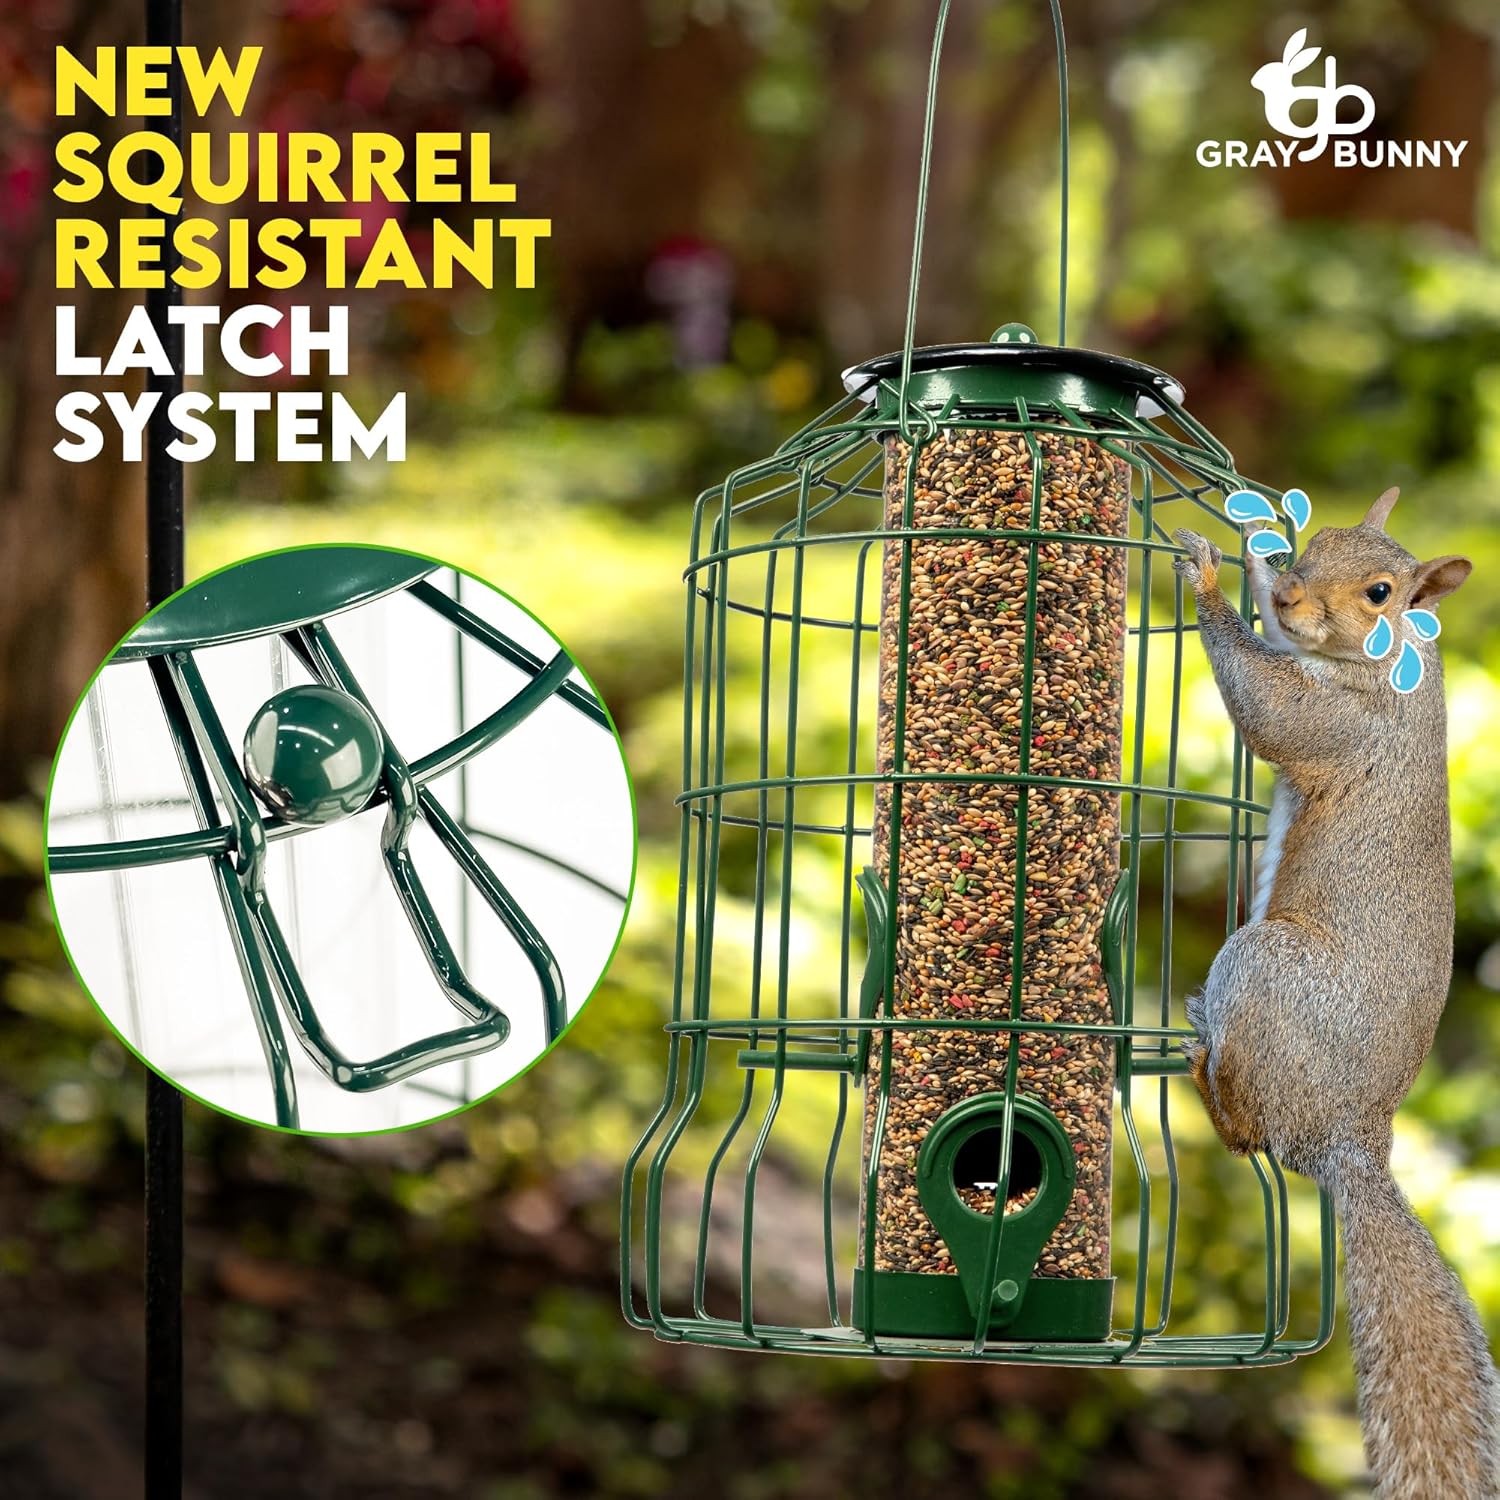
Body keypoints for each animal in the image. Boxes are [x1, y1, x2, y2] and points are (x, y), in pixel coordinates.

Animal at [1172, 488, 1497, 1499]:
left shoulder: (1347, 724)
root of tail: (1352, 1136)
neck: (1393, 661)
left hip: (1264, 967)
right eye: (1314, 541)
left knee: (1249, 1132)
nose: (1288, 590)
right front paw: (1245, 558)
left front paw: (1209, 577)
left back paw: (1202, 1067)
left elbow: (1269, 709)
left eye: (1383, 591)